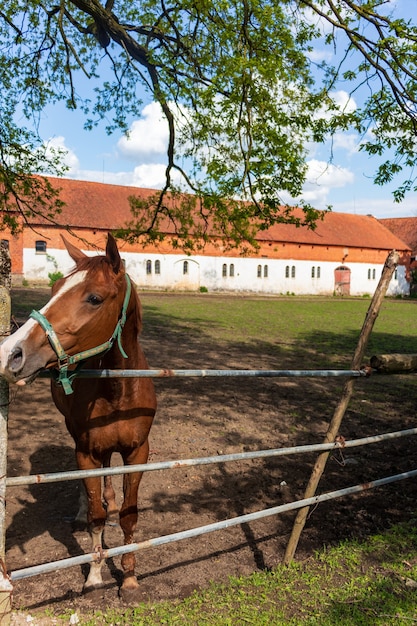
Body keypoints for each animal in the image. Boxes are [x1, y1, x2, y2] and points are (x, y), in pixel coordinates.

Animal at [0, 235, 156, 600]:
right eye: (55, 287)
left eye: (94, 298)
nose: (11, 353)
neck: (118, 392)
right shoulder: (87, 451)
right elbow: (97, 517)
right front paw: (95, 576)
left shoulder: (137, 452)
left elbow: (128, 516)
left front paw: (129, 579)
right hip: (77, 439)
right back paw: (84, 509)